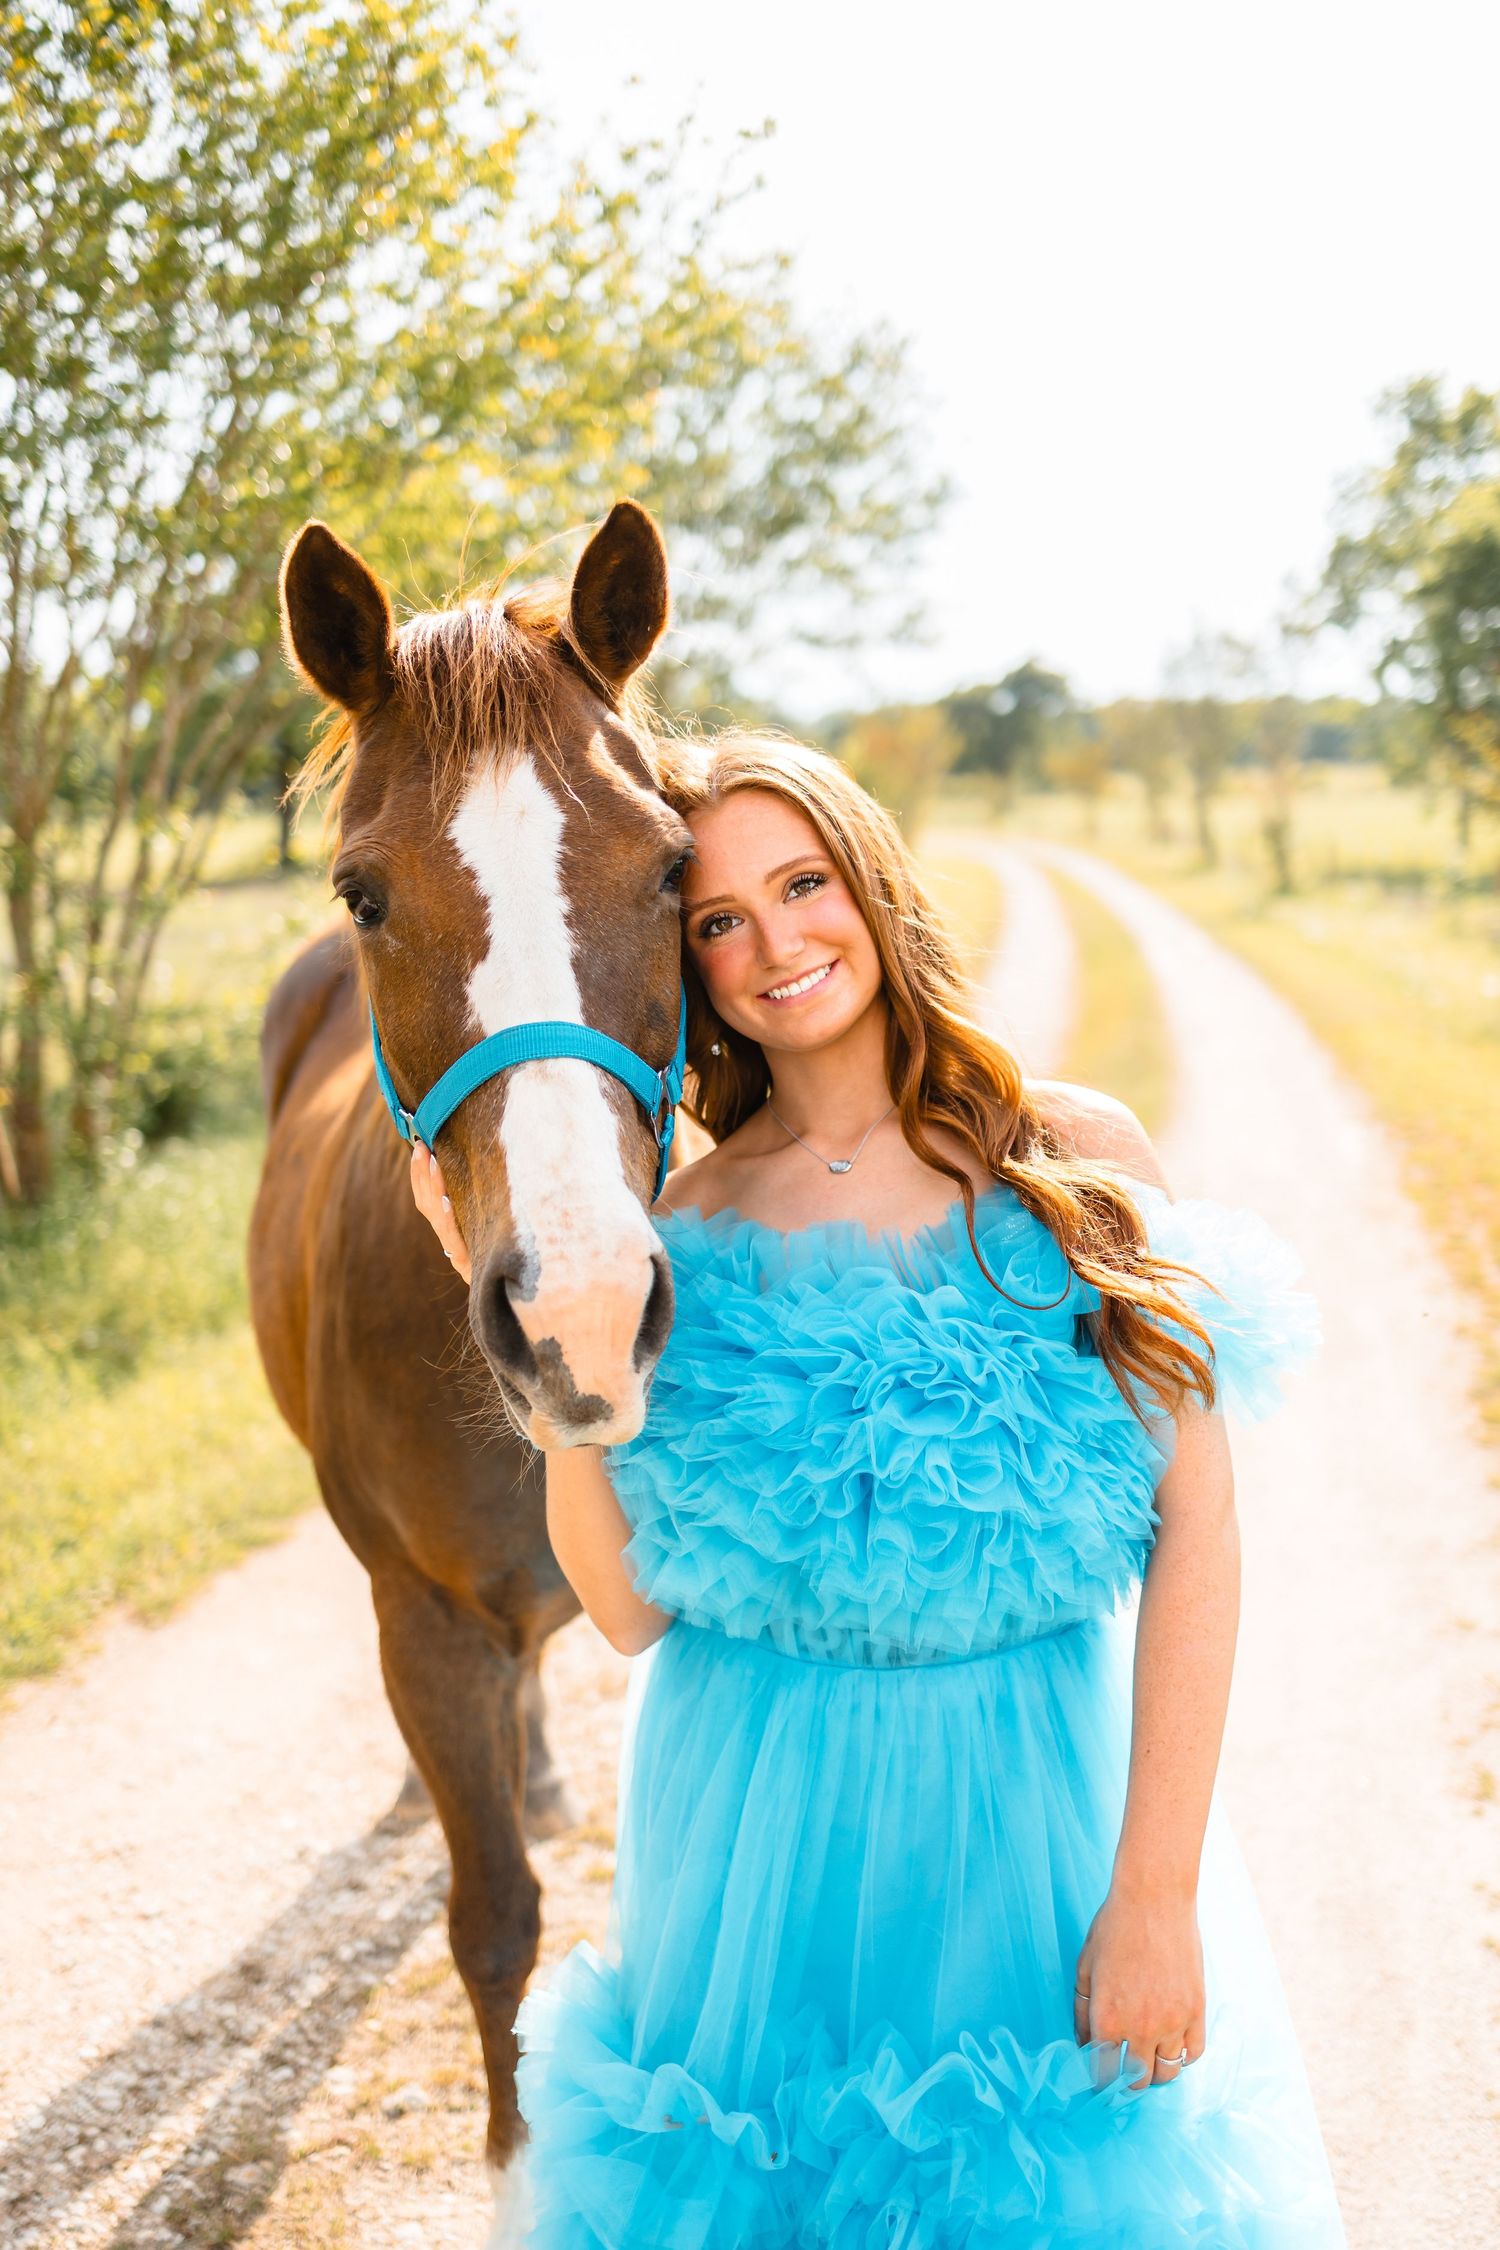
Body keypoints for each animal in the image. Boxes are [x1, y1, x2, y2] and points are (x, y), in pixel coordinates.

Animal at [247, 500, 691, 2206]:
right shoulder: (426, 1625)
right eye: (363, 894)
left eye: (673, 865)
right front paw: (518, 2166)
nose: (580, 1308)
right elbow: (493, 1918)